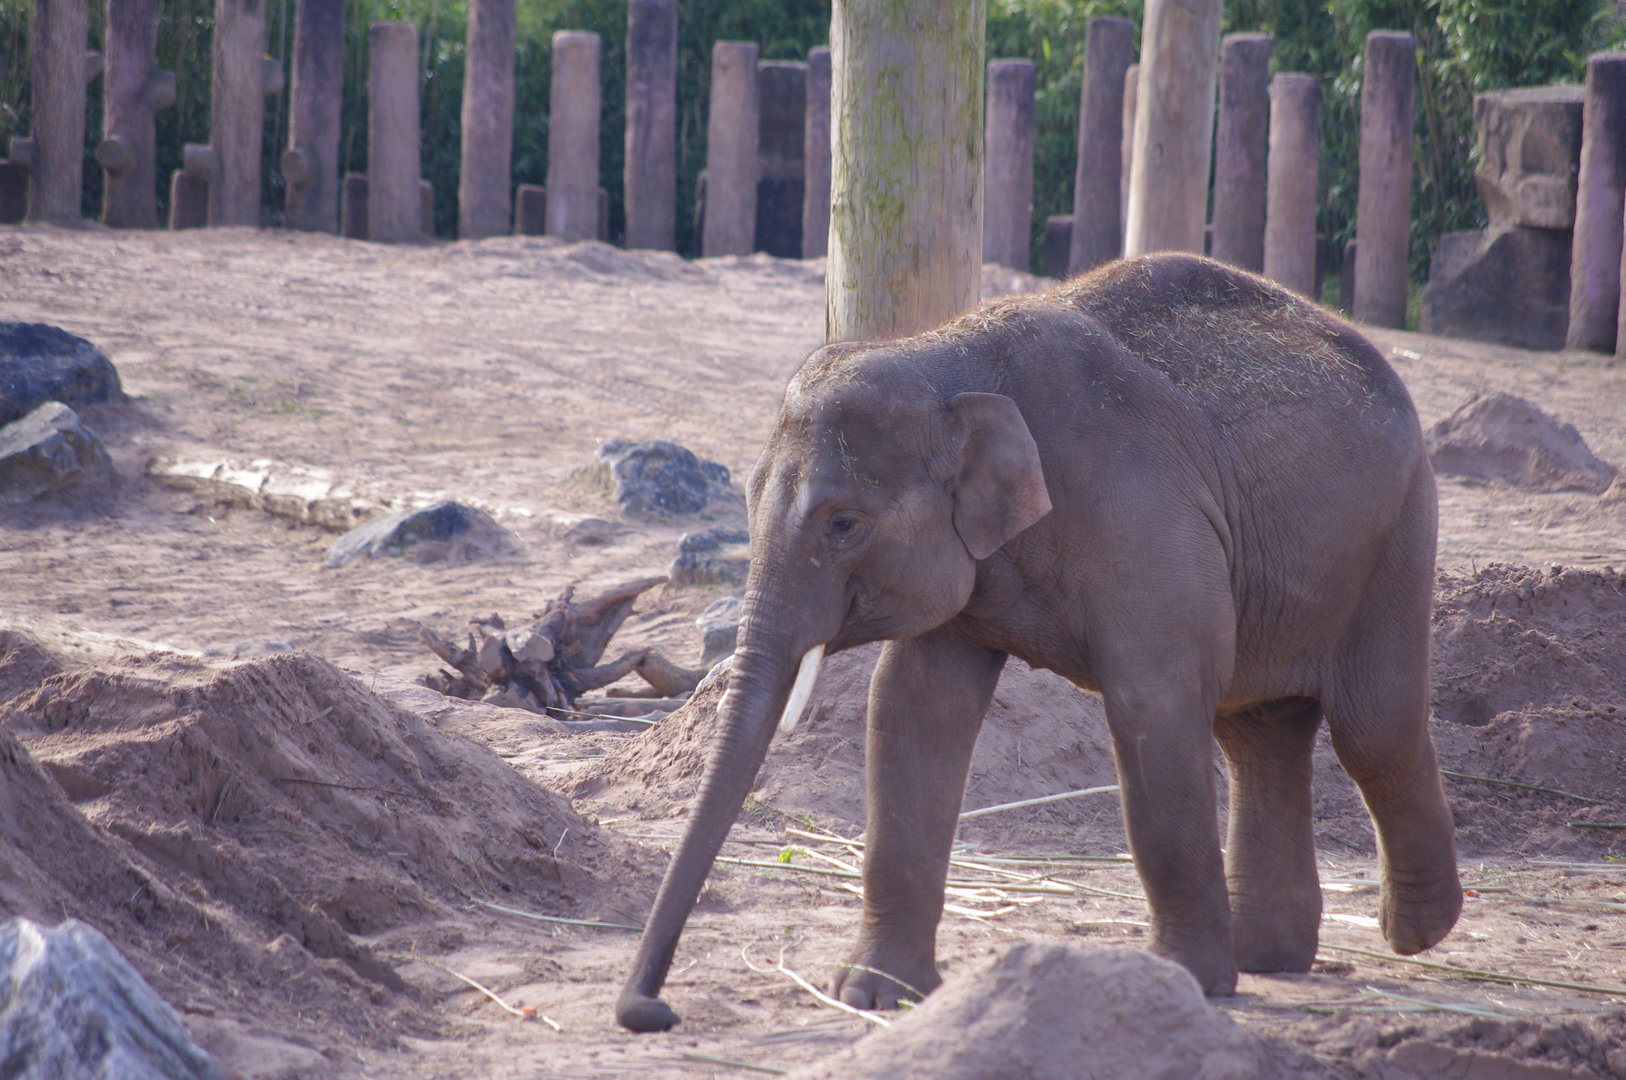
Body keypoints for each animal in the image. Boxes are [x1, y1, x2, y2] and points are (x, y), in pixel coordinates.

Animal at [616, 253, 1462, 1033]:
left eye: (843, 524)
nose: (652, 1011)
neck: (946, 357)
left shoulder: (1141, 514)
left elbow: (1153, 702)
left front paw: (1181, 982)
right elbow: (913, 707)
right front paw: (876, 995)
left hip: (1398, 527)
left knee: (1373, 727)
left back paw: (1417, 933)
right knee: (1258, 734)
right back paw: (1269, 958)